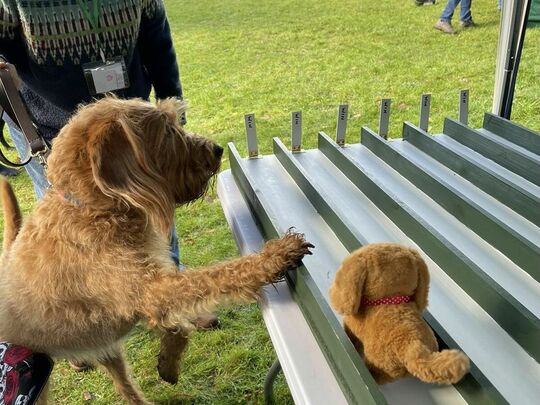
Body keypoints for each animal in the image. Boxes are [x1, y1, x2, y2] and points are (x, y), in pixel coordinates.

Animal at [0, 96, 312, 402]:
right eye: (167, 132)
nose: (217, 149)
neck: (94, 208)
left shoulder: (147, 292)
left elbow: (178, 326)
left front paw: (168, 363)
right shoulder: (153, 289)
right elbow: (217, 275)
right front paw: (276, 255)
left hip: (106, 347)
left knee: (125, 386)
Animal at [330, 243, 468, 386]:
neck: (393, 298)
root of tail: (413, 346)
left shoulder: (352, 324)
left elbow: (351, 334)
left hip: (381, 363)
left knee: (377, 373)